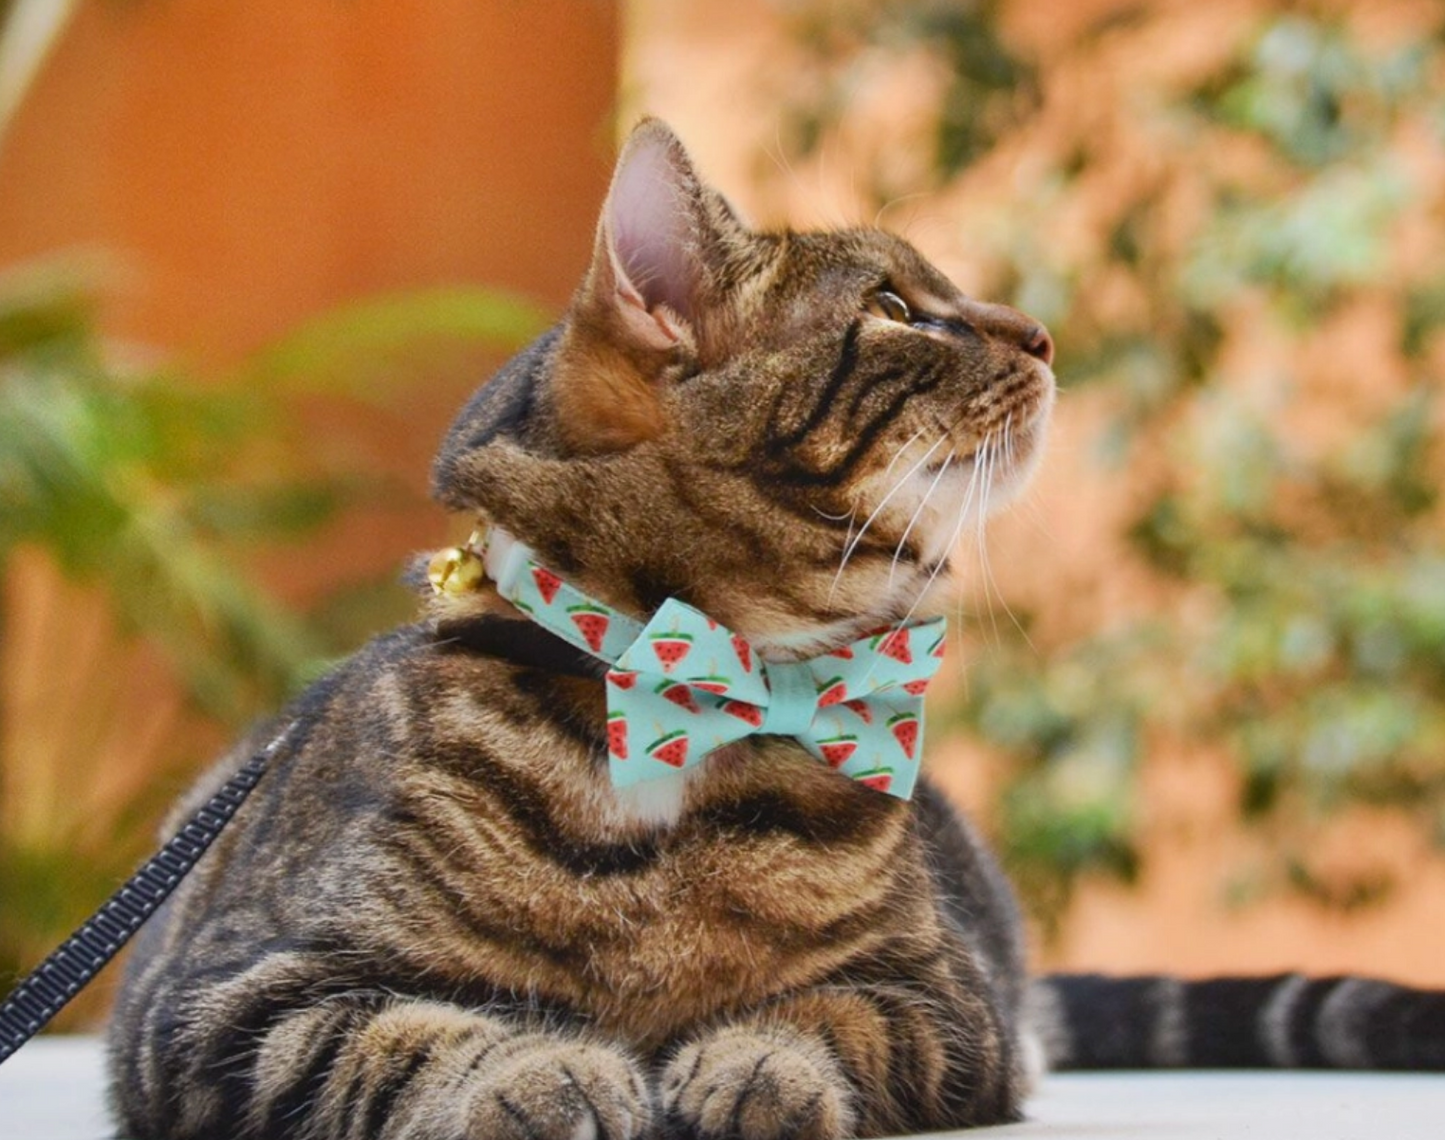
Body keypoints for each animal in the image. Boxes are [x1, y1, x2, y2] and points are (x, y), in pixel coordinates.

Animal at [104, 117, 1445, 1138]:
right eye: (898, 307)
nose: (1041, 332)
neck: (692, 697)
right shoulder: (222, 1000)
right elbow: (405, 1036)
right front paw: (545, 1072)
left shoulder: (944, 999)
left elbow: (825, 1015)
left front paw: (748, 1067)